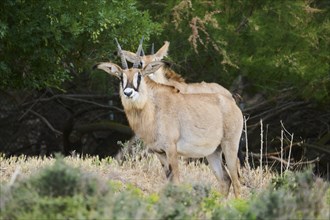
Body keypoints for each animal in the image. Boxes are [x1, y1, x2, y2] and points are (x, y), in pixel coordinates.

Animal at [94, 38, 244, 198]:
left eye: (139, 76)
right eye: (120, 77)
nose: (128, 93)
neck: (152, 109)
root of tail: (232, 103)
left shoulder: (172, 150)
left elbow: (177, 182)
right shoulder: (160, 153)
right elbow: (169, 183)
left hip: (229, 146)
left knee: (236, 181)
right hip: (213, 152)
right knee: (225, 180)